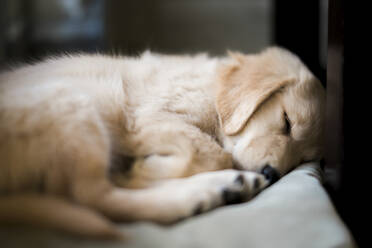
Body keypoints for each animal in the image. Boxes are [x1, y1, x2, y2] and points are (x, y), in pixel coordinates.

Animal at [0, 47, 326, 238]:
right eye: (286, 122)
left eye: (302, 158)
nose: (272, 174)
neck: (213, 92)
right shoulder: (151, 115)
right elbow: (212, 152)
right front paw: (144, 169)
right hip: (75, 102)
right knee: (93, 196)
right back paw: (202, 190)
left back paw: (224, 187)